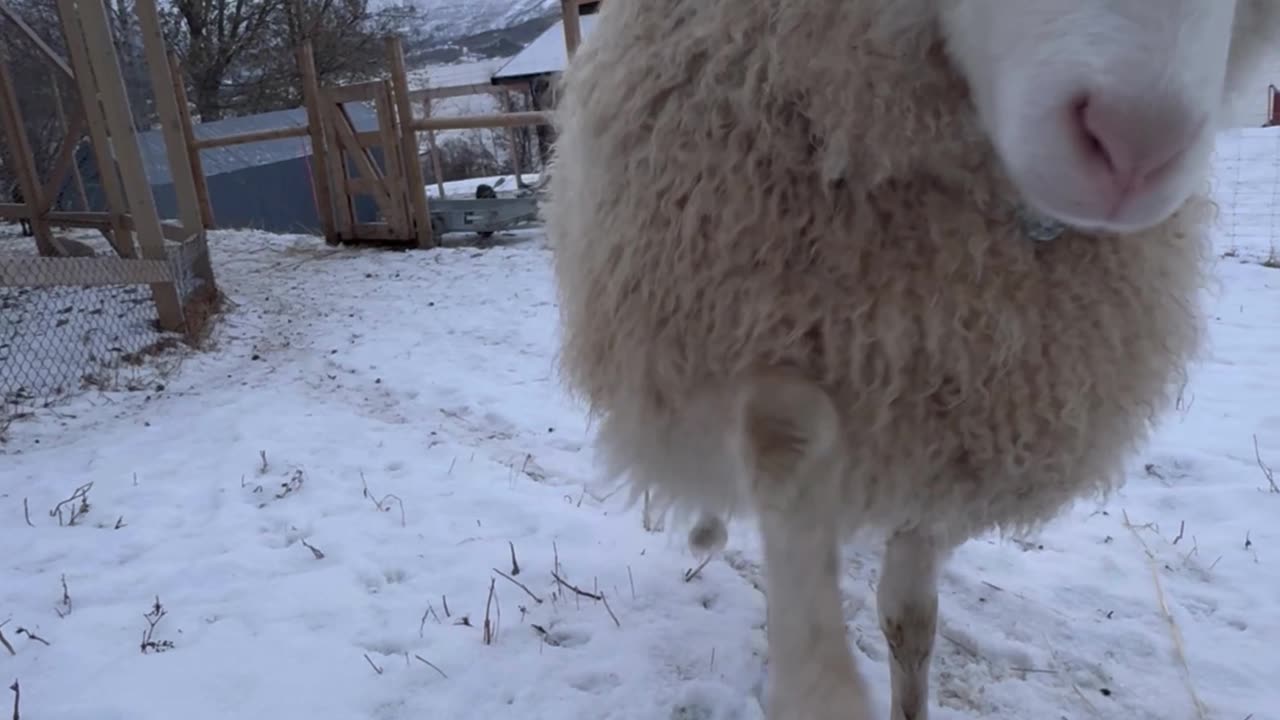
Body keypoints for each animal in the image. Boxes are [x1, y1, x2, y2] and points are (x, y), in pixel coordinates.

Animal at [545, 1, 1280, 717]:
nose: (1134, 148)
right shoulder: (731, 325)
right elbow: (788, 440)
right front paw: (822, 689)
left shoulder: (942, 425)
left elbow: (910, 618)